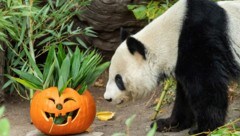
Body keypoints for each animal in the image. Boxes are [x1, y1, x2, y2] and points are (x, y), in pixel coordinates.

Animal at [104, 0, 240, 134]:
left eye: (118, 79)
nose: (107, 98)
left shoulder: (200, 42)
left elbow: (206, 87)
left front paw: (204, 128)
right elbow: (184, 94)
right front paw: (168, 124)